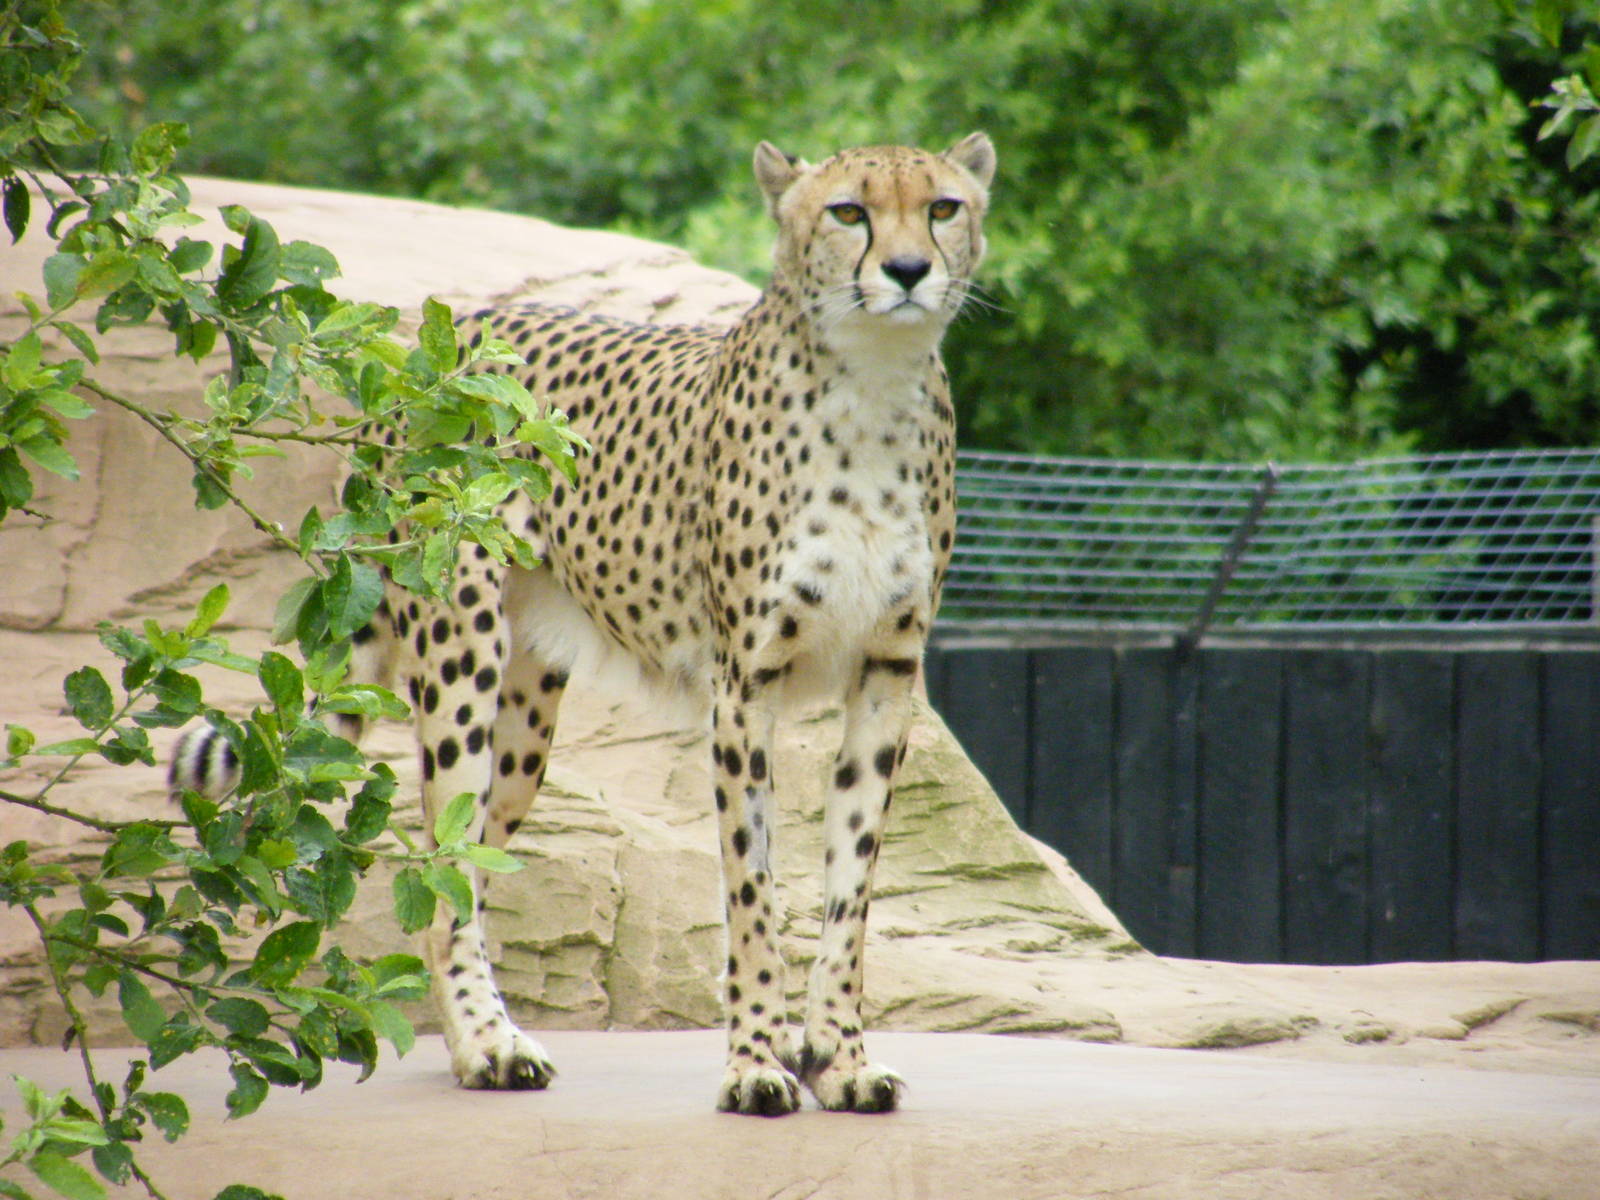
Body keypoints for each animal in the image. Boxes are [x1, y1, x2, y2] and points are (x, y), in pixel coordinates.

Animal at [171, 132, 996, 1116]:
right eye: (849, 212)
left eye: (942, 207)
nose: (908, 271)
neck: (873, 384)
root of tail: (447, 340)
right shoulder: (742, 688)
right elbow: (752, 890)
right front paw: (757, 1064)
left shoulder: (885, 674)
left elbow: (851, 892)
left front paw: (839, 1058)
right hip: (462, 655)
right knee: (445, 868)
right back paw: (492, 1048)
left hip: (526, 720)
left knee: (462, 879)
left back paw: (475, 1044)